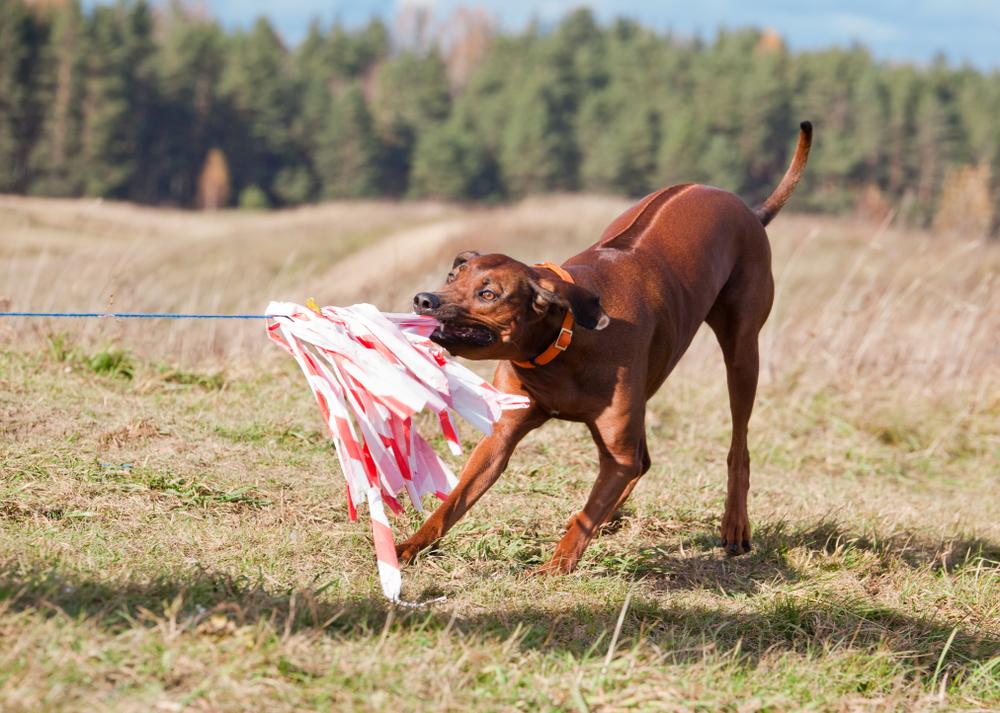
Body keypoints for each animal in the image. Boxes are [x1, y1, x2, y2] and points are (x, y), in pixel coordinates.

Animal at [400, 118, 812, 572]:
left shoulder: (616, 450)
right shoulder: (503, 433)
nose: (423, 300)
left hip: (742, 351)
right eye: (453, 277)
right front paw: (409, 546)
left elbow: (587, 514)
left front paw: (556, 567)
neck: (563, 342)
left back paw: (734, 523)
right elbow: (454, 501)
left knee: (736, 446)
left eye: (488, 294)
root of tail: (748, 210)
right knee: (642, 461)